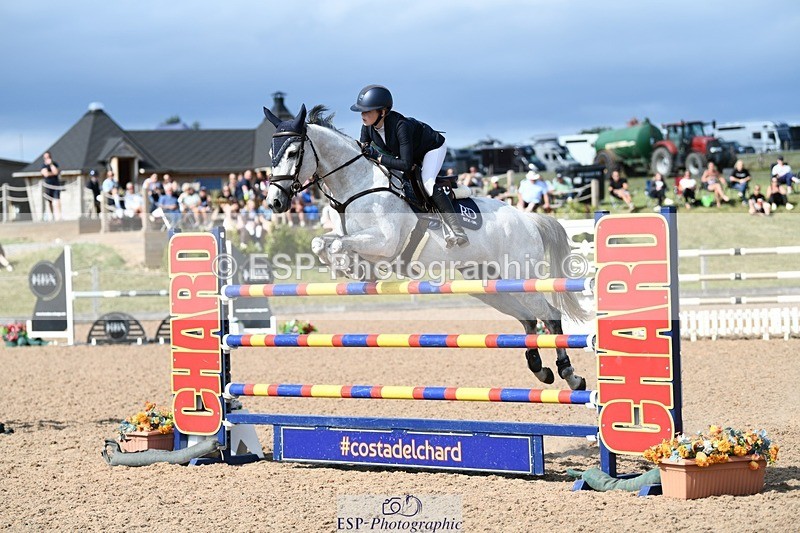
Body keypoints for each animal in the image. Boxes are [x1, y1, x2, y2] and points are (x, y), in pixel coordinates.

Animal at [263, 104, 591, 390]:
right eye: (271, 153)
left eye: (293, 152)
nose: (274, 203)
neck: (356, 187)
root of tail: (527, 218)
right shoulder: (350, 236)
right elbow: (321, 241)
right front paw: (356, 268)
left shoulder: (385, 241)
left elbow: (339, 246)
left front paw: (349, 266)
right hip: (489, 284)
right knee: (529, 318)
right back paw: (540, 369)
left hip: (520, 276)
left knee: (550, 315)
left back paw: (570, 375)